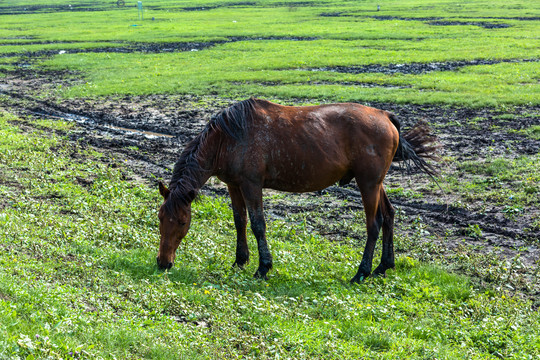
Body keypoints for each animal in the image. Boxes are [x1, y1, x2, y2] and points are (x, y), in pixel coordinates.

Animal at [156, 97, 438, 282]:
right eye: (160, 219)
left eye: (182, 222)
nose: (163, 263)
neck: (229, 137)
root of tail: (384, 115)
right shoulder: (234, 185)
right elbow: (240, 222)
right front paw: (240, 261)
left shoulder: (251, 185)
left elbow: (258, 225)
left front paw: (263, 267)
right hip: (376, 183)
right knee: (389, 216)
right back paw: (383, 266)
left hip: (367, 184)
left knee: (374, 224)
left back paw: (362, 272)